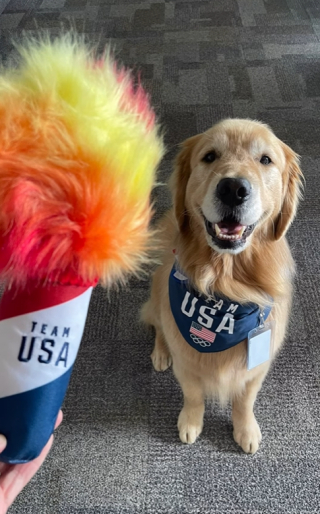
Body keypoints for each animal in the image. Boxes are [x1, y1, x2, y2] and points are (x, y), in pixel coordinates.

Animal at [142, 119, 302, 452]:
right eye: (209, 156)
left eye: (265, 159)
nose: (233, 189)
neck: (225, 287)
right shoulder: (186, 362)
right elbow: (193, 396)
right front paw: (191, 423)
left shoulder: (257, 365)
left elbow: (245, 400)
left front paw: (245, 429)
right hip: (158, 296)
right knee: (159, 326)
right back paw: (160, 353)